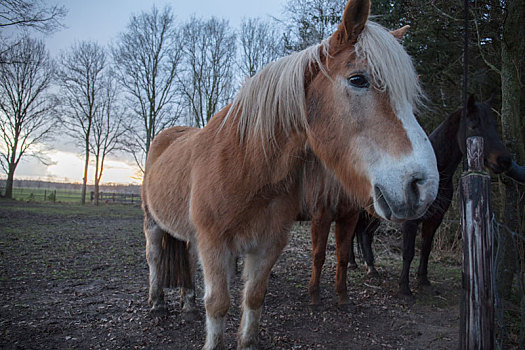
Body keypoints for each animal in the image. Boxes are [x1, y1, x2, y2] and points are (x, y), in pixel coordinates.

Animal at [139, 0, 438, 348]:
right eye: (358, 79)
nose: (422, 186)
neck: (248, 168)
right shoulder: (214, 244)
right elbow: (218, 304)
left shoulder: (268, 245)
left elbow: (254, 297)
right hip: (153, 222)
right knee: (154, 259)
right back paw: (157, 305)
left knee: (185, 261)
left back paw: (187, 306)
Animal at [304, 95, 512, 304]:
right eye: (474, 125)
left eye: (494, 125)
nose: (504, 160)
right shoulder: (411, 221)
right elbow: (409, 252)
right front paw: (404, 288)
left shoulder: (434, 219)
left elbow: (426, 249)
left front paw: (423, 281)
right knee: (356, 233)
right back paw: (356, 263)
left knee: (364, 234)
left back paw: (371, 267)